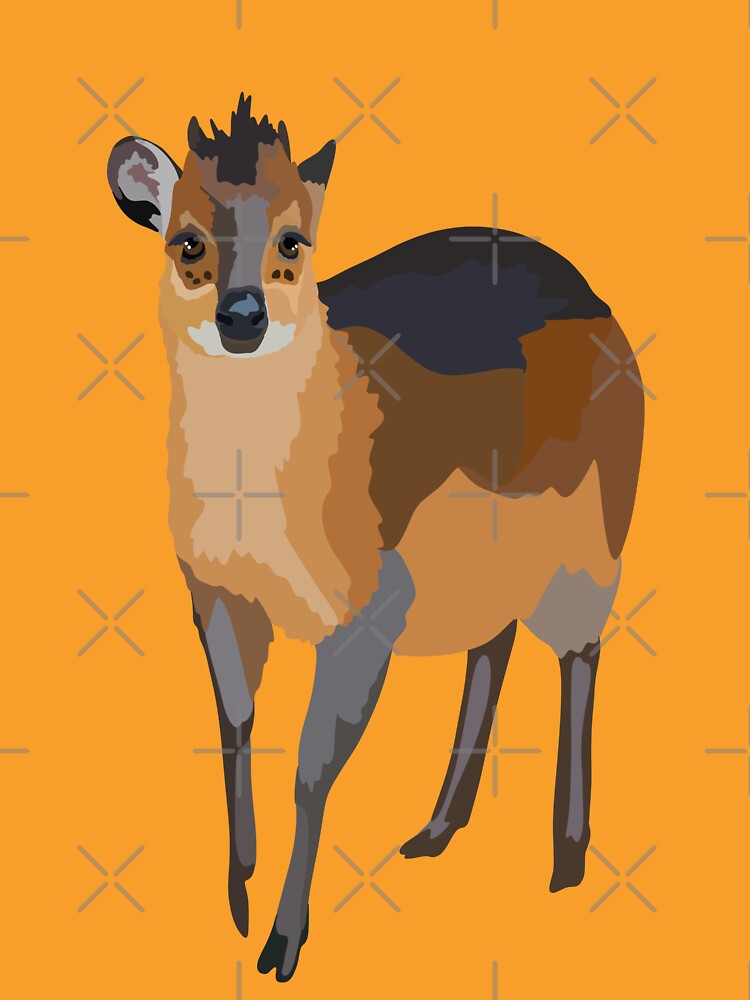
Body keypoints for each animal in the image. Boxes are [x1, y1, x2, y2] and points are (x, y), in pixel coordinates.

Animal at [107, 94, 643, 982]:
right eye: (187, 242)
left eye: (294, 240)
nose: (243, 316)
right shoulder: (214, 593)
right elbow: (235, 729)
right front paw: (238, 896)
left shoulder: (369, 610)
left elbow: (310, 770)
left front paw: (283, 945)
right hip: (478, 565)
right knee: (493, 643)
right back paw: (435, 831)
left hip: (594, 538)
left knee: (578, 651)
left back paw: (565, 862)